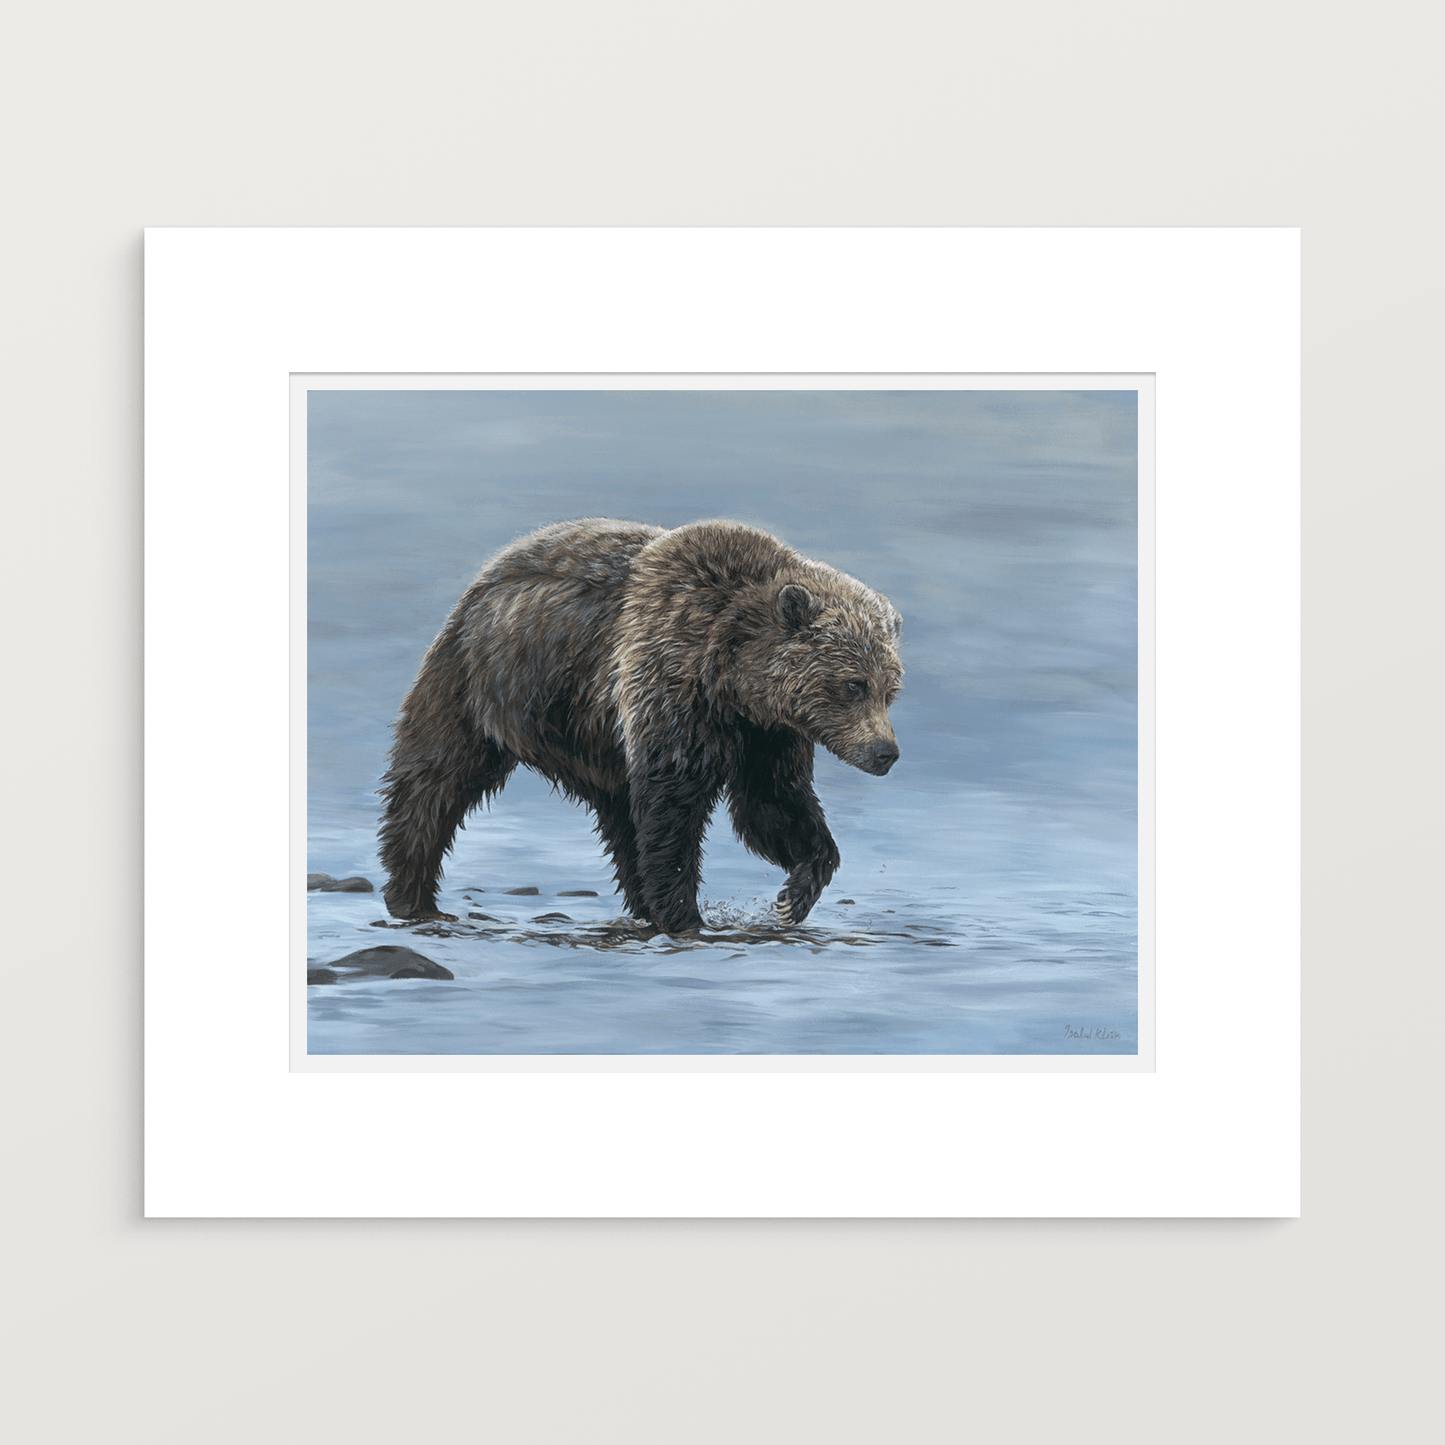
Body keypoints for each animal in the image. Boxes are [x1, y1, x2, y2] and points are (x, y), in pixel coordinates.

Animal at [378, 518, 903, 934]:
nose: (886, 752)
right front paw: (686, 914)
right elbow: (674, 806)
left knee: (622, 819)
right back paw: (411, 895)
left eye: (890, 689)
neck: (732, 677)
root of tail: (487, 574)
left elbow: (771, 804)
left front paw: (795, 893)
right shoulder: (670, 684)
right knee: (433, 782)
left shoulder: (769, 734)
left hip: (589, 738)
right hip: (481, 682)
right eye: (853, 685)